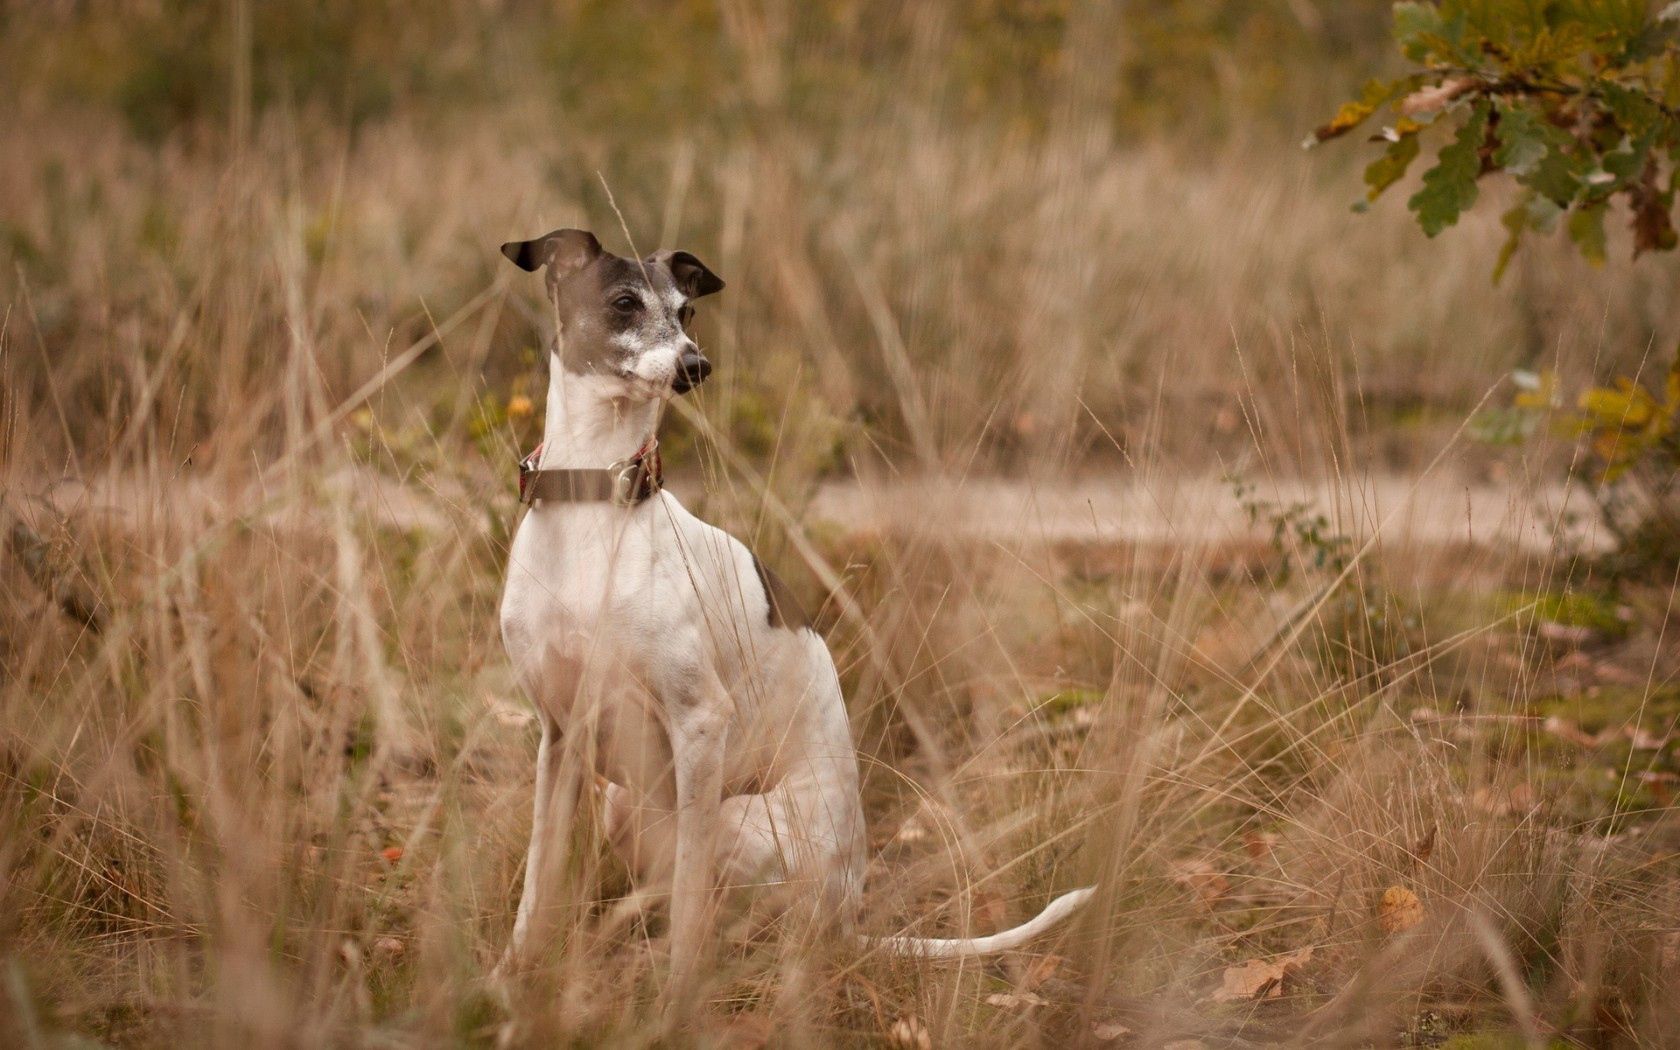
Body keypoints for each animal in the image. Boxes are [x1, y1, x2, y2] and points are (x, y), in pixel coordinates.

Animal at [490, 228, 1095, 1001]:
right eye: (624, 302)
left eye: (688, 311)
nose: (696, 365)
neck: (593, 499)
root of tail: (846, 919)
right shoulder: (560, 735)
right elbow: (539, 882)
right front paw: (512, 975)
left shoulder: (699, 724)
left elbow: (688, 903)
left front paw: (675, 1000)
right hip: (628, 802)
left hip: (731, 816)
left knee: (738, 923)